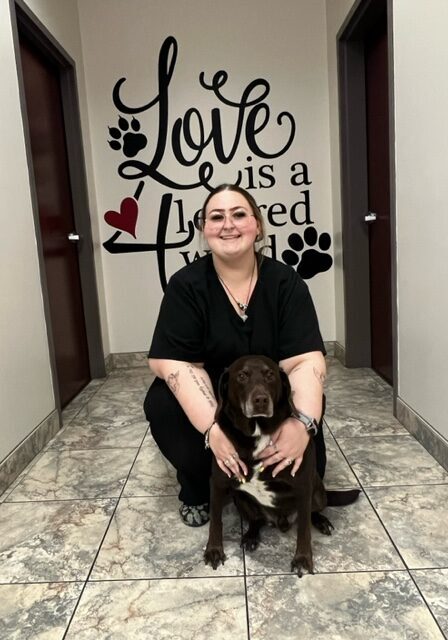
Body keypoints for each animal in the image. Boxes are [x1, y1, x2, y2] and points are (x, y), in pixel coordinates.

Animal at [205, 356, 358, 576]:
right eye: (242, 376)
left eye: (270, 375)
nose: (260, 400)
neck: (258, 431)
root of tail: (280, 521)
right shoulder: (218, 482)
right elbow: (215, 521)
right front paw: (214, 551)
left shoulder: (303, 486)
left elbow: (304, 530)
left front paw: (302, 559)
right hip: (240, 499)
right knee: (256, 520)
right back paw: (251, 536)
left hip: (317, 494)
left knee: (312, 512)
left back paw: (321, 521)